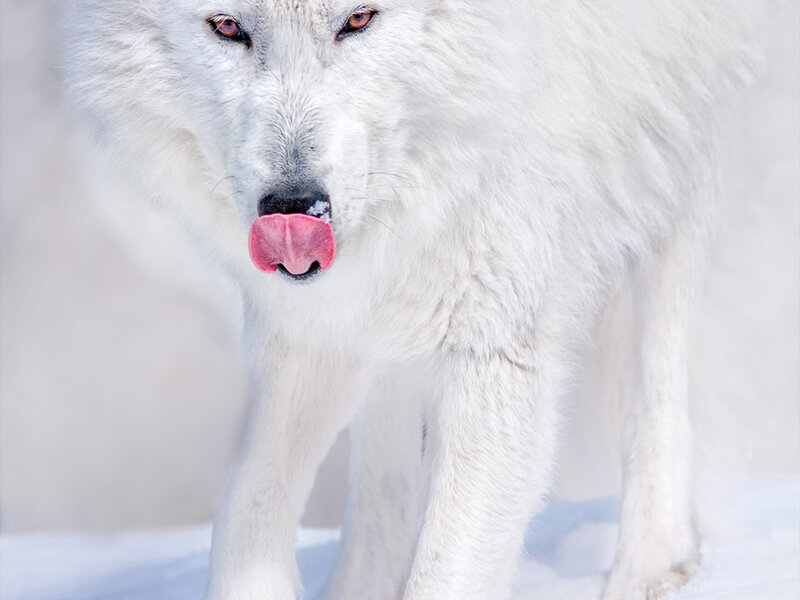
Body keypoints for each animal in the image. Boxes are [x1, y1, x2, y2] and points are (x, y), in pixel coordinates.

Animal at [64, 1, 775, 598]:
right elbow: (247, 505)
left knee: (661, 371)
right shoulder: (314, 325)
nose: (295, 211)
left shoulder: (498, 343)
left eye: (358, 18)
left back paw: (651, 566)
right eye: (227, 26)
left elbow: (448, 567)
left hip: (681, 134)